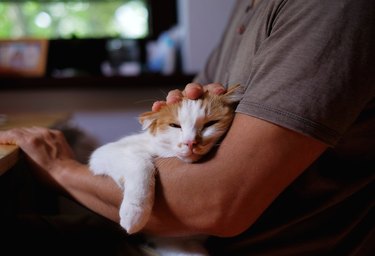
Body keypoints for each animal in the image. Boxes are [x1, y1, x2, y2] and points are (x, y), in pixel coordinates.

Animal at [89, 83, 244, 254]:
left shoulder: (177, 244)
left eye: (210, 124)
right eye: (175, 126)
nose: (190, 143)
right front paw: (135, 212)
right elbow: (142, 164)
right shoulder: (103, 153)